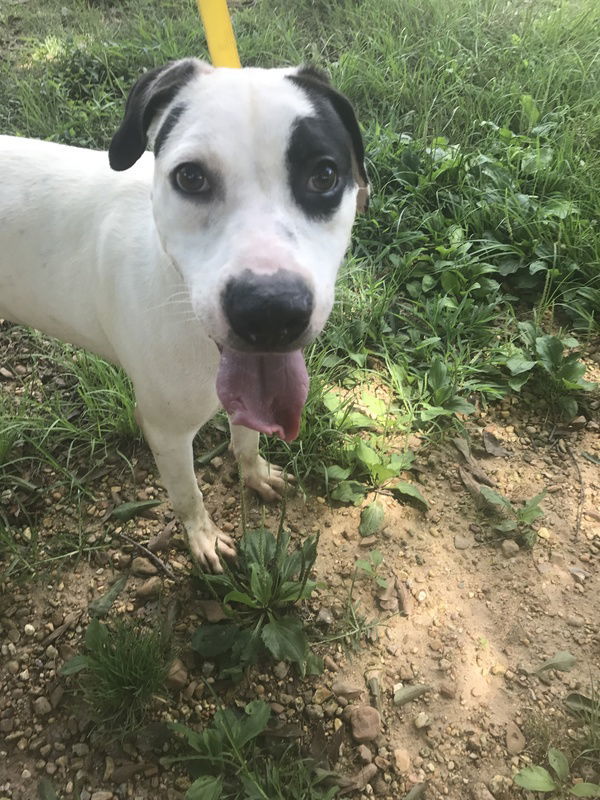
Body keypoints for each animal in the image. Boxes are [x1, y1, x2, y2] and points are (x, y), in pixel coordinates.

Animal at [0, 59, 368, 572]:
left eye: (325, 175)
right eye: (191, 177)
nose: (269, 310)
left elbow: (246, 439)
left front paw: (254, 473)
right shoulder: (166, 430)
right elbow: (188, 495)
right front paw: (203, 538)